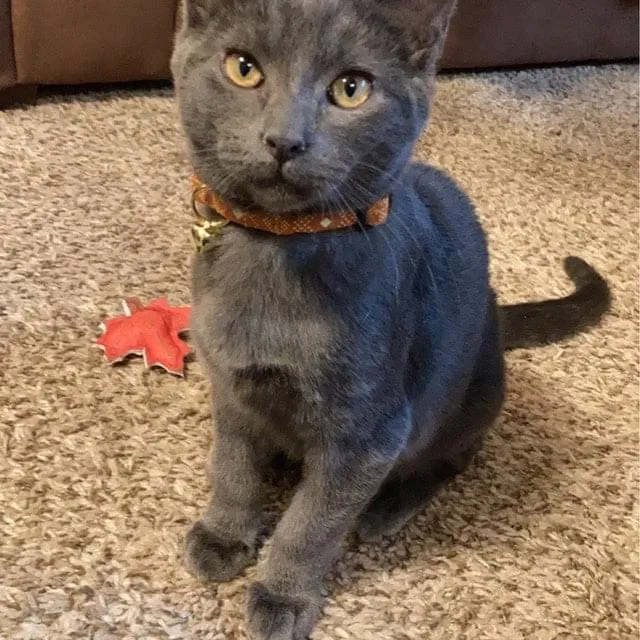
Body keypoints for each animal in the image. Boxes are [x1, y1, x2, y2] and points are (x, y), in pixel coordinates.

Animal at [170, 2, 608, 636]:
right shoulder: (229, 386)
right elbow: (230, 465)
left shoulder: (369, 432)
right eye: (243, 69)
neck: (275, 253)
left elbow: (312, 523)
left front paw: (282, 595)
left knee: (455, 457)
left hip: (465, 398)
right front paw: (223, 535)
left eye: (351, 89)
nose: (285, 140)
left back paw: (383, 510)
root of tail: (497, 319)